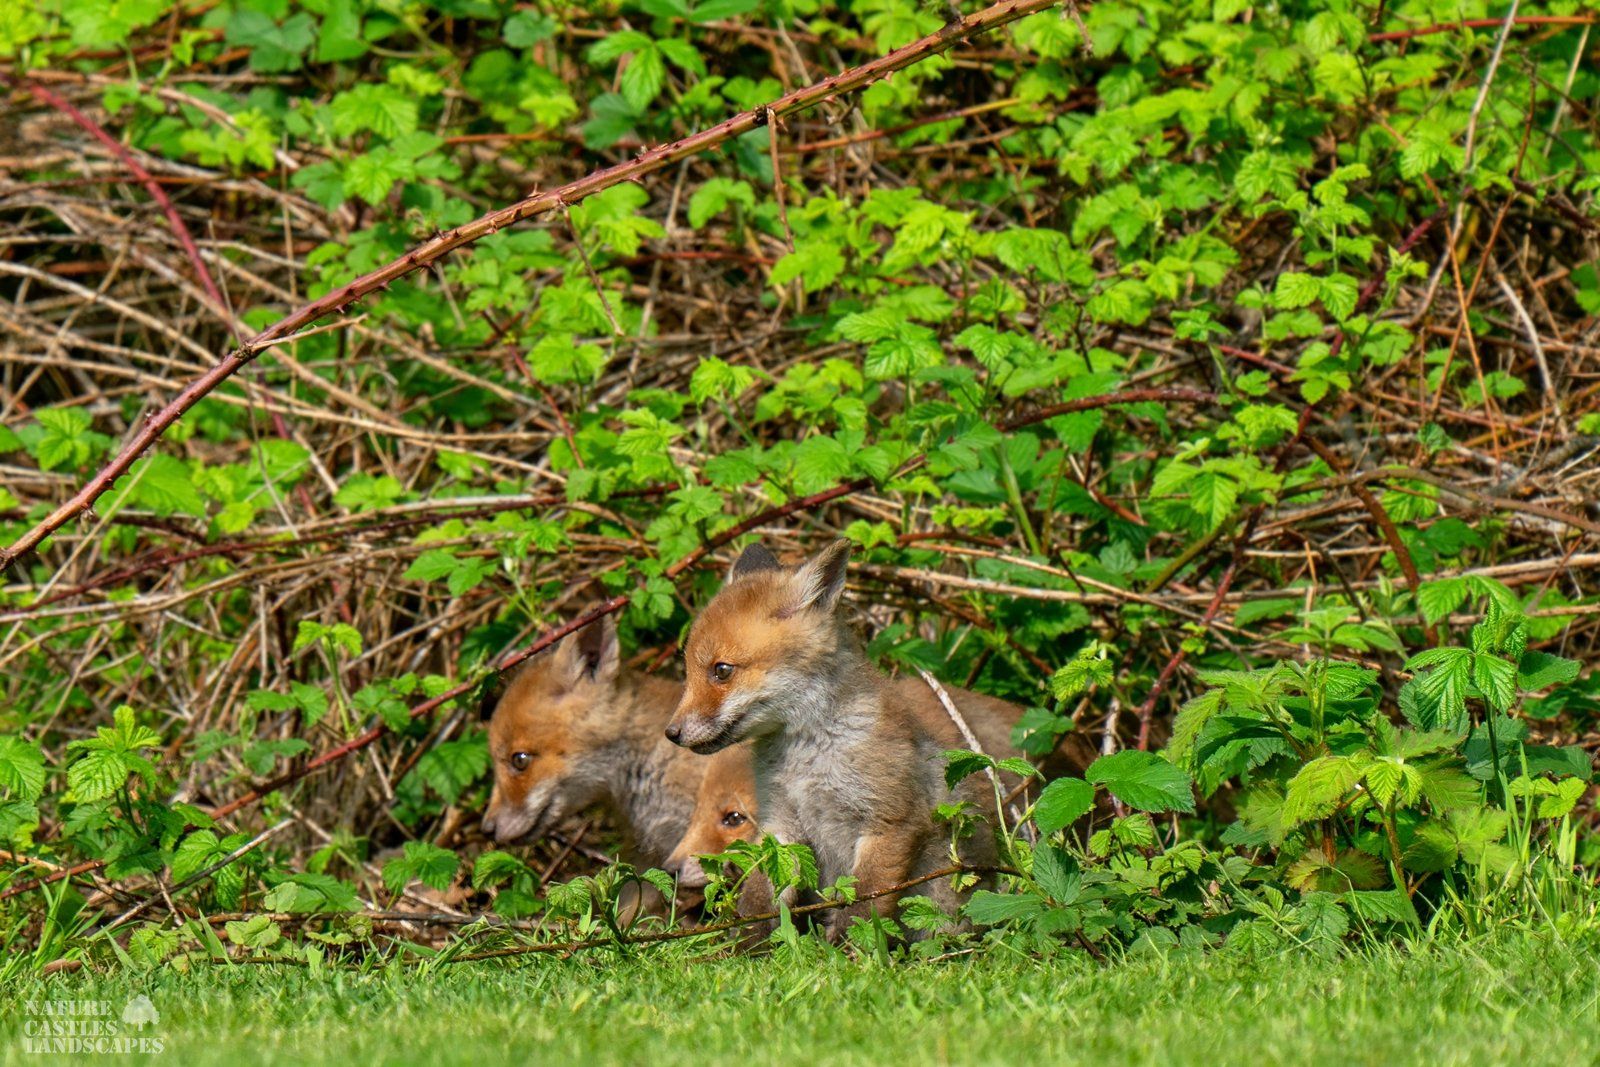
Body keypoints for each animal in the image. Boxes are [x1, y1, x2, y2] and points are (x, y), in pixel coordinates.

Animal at [664, 539, 1070, 940]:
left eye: (721, 671)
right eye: (690, 670)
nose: (672, 733)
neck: (806, 762)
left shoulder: (888, 822)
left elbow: (864, 905)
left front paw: (849, 952)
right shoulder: (781, 826)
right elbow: (759, 902)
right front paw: (744, 948)